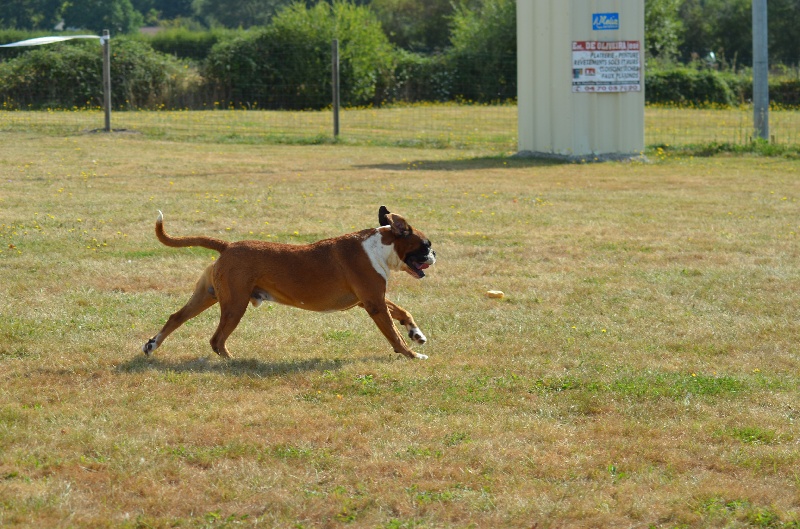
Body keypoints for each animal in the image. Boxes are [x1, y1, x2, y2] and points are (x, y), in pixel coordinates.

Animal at [142, 206, 436, 360]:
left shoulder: (370, 300)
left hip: (208, 295)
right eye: (426, 244)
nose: (434, 254)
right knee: (216, 339)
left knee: (175, 317)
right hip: (235, 306)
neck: (379, 246)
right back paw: (233, 361)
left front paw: (416, 333)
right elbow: (394, 335)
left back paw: (152, 345)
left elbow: (402, 312)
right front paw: (411, 355)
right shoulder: (374, 304)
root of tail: (228, 245)